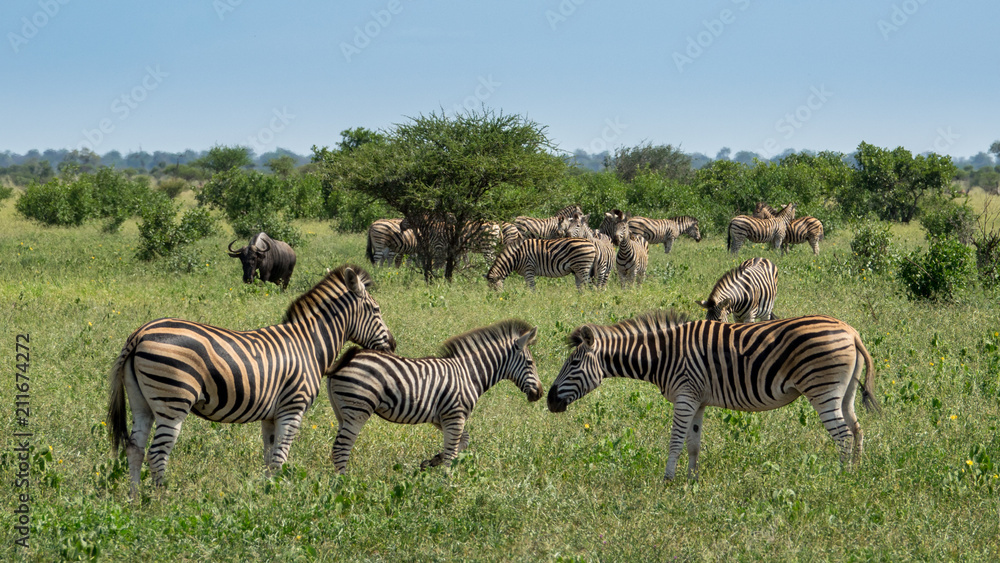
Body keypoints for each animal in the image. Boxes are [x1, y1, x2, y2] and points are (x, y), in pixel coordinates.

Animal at [105, 264, 396, 496]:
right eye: (376, 310)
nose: (393, 346)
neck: (309, 345)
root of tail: (140, 333)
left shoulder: (271, 414)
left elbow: (268, 458)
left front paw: (267, 493)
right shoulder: (293, 408)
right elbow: (279, 458)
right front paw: (279, 499)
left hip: (142, 403)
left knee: (135, 448)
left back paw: (135, 499)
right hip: (172, 402)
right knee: (157, 454)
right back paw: (161, 500)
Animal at [326, 319, 542, 472]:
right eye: (530, 363)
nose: (539, 393)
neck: (468, 373)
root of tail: (340, 363)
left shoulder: (442, 418)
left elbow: (463, 441)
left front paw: (431, 462)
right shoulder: (455, 416)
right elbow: (452, 453)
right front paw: (447, 487)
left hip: (342, 412)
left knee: (337, 449)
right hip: (358, 409)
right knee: (341, 449)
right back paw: (343, 487)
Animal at [547, 310, 879, 480]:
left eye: (573, 364)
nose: (549, 401)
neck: (663, 355)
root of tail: (850, 331)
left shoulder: (684, 397)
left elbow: (675, 441)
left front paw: (667, 481)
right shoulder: (697, 401)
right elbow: (693, 444)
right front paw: (691, 481)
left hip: (822, 390)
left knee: (842, 435)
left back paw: (838, 478)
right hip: (844, 392)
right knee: (857, 429)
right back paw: (856, 473)